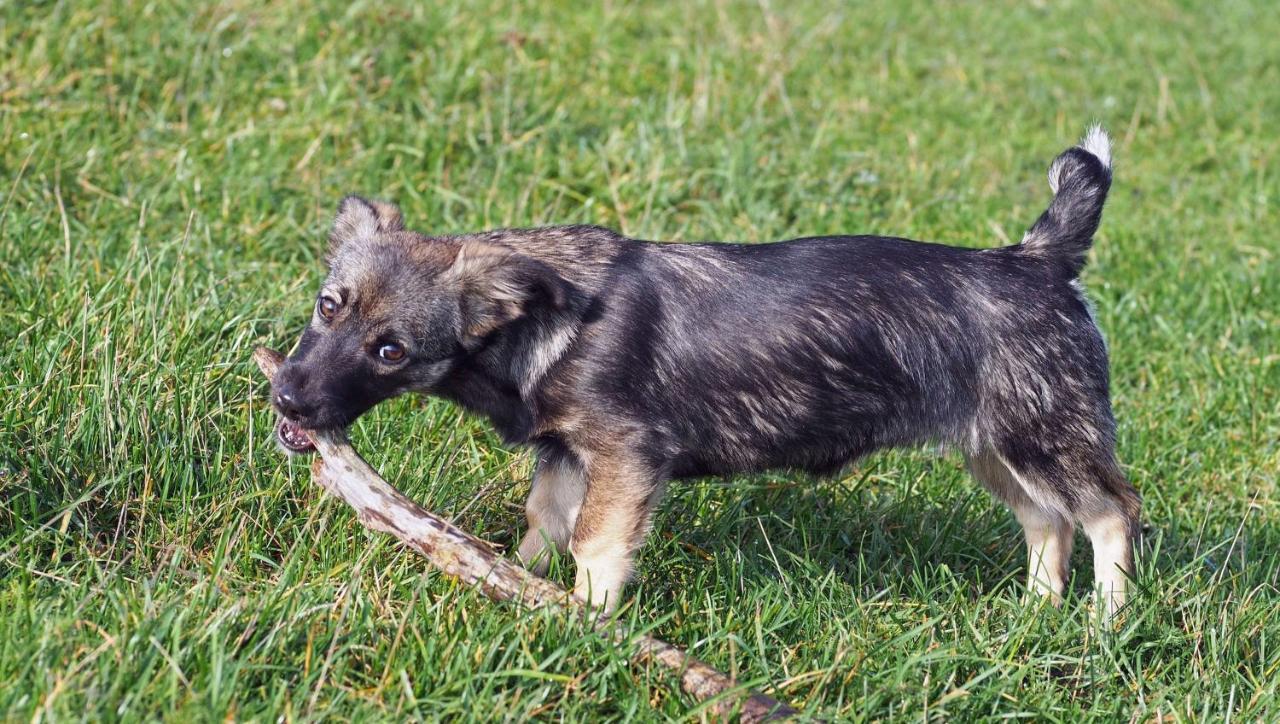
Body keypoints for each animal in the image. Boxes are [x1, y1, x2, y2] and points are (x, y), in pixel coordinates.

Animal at [272, 127, 1141, 616]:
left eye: (391, 351)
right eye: (327, 305)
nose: (285, 395)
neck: (542, 322)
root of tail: (1039, 260)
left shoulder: (625, 457)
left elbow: (595, 548)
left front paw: (586, 626)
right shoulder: (566, 457)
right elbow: (542, 531)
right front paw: (520, 591)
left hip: (1044, 439)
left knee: (1110, 513)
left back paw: (1104, 621)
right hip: (994, 450)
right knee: (1047, 523)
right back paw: (1034, 614)